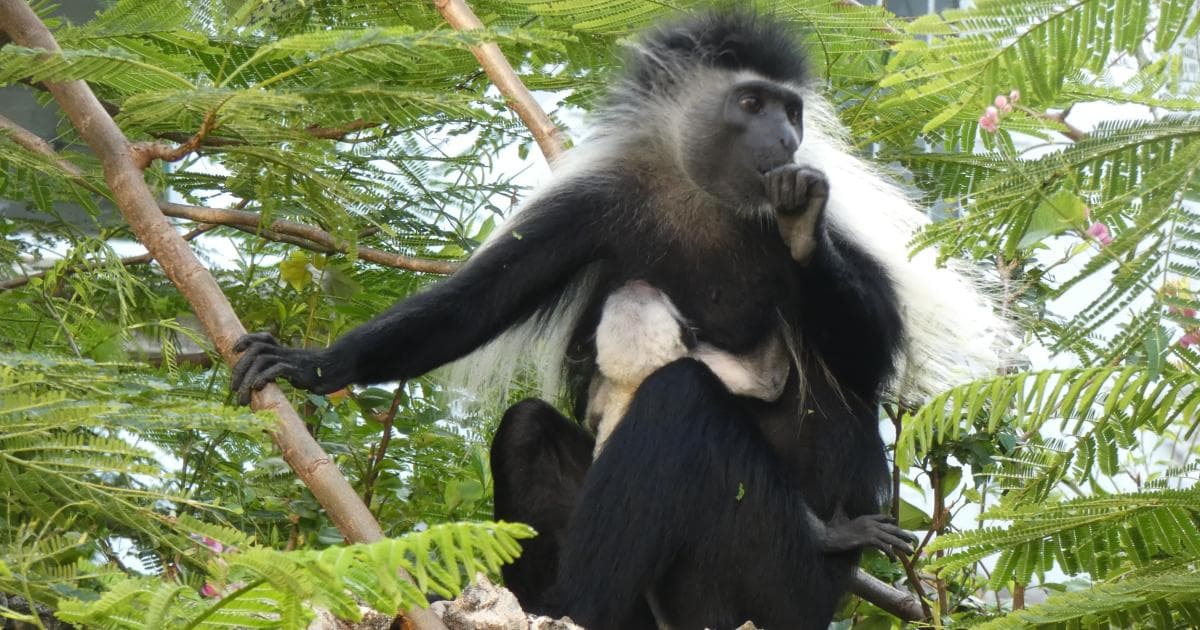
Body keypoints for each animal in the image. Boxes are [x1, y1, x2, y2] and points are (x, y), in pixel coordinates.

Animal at [231, 9, 1003, 628]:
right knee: (530, 428)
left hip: (772, 577)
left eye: (792, 111)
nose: (787, 139)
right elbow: (471, 308)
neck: (696, 196)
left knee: (682, 401)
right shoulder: (597, 204)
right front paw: (310, 364)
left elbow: (869, 354)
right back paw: (545, 605)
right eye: (753, 102)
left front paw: (802, 222)